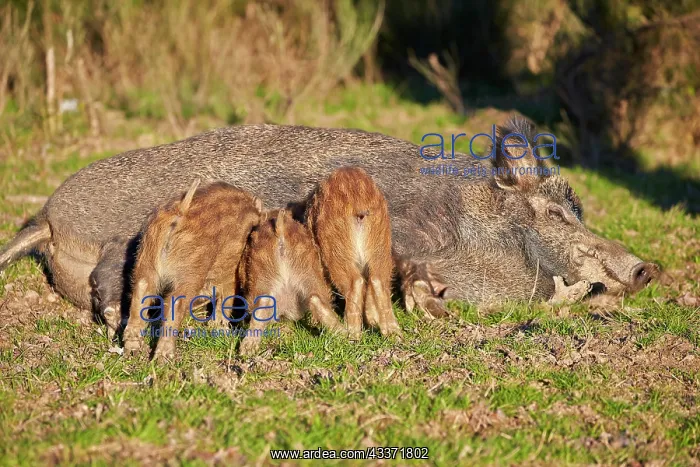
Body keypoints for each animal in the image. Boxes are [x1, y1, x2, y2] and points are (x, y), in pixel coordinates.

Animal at [0, 117, 659, 318]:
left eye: (579, 210)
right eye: (553, 212)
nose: (645, 268)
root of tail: (49, 218)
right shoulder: (411, 223)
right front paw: (428, 300)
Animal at [122, 179, 263, 360]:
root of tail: (181, 211)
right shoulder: (229, 277)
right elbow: (226, 301)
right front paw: (219, 328)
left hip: (146, 261)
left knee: (140, 293)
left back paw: (132, 351)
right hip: (190, 272)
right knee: (174, 303)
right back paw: (164, 358)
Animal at [306, 167, 401, 340]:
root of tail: (359, 205)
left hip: (337, 248)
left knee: (355, 282)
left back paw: (353, 334)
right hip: (380, 243)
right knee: (378, 280)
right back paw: (394, 333)